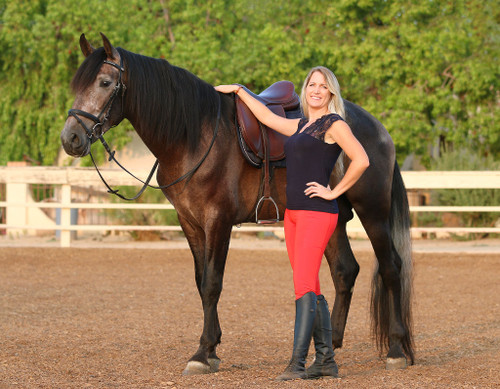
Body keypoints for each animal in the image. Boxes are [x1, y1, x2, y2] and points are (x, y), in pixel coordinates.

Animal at [61, 34, 414, 376]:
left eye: (105, 82)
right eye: (76, 85)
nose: (71, 138)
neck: (194, 136)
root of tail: (378, 129)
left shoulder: (218, 220)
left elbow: (212, 283)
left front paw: (203, 353)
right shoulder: (189, 222)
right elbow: (200, 281)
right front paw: (211, 349)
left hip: (373, 212)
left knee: (391, 268)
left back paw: (397, 349)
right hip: (331, 216)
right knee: (344, 271)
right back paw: (331, 346)